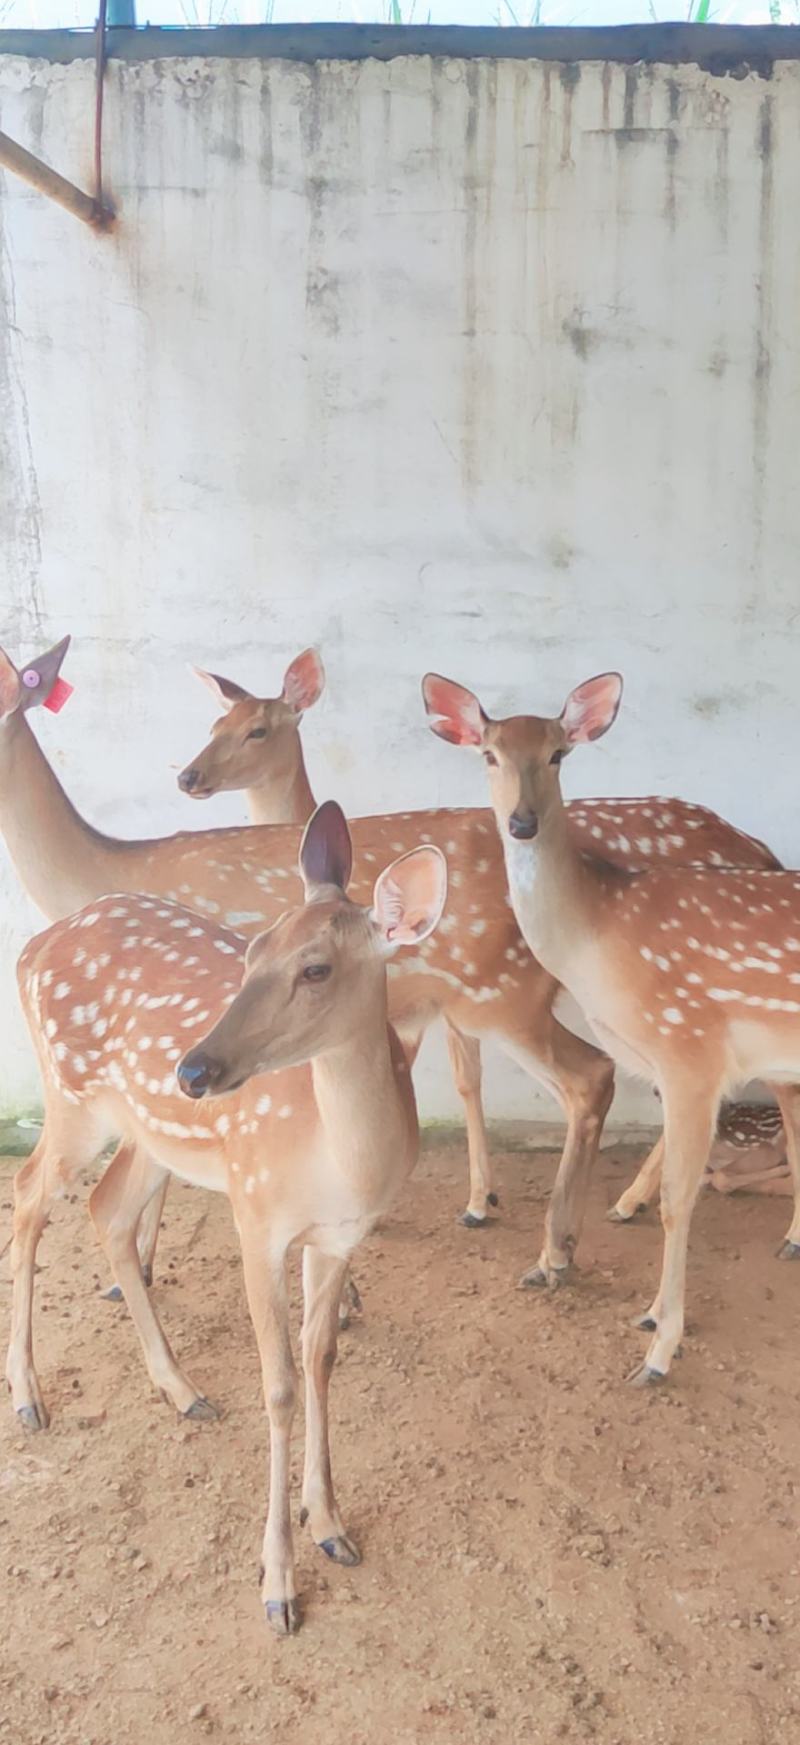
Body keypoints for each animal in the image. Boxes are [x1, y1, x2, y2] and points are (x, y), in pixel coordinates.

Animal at [0, 638, 782, 1298]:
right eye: (216, 720)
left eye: (257, 730)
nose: (188, 774)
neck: (101, 872)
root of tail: (758, 845)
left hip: (514, 995)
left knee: (609, 1077)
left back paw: (572, 1246)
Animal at [6, 802, 447, 1633]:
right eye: (251, 948)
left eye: (316, 968)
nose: (193, 1068)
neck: (345, 1165)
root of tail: (30, 949)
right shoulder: (256, 1216)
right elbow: (277, 1386)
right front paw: (278, 1584)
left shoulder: (338, 1238)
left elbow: (320, 1359)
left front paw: (330, 1523)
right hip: (73, 1097)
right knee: (26, 1192)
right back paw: (27, 1393)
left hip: (146, 1133)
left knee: (106, 1209)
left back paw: (180, 1387)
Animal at [419, 673, 800, 1382]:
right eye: (488, 754)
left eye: (558, 754)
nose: (522, 822)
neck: (600, 936)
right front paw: (649, 1316)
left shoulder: (689, 1049)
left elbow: (680, 1201)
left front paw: (658, 1350)